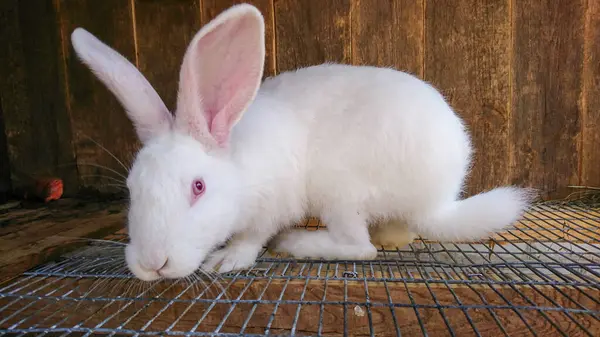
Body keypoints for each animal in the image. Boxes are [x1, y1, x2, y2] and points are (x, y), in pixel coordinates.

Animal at [70, 3, 536, 280]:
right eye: (131, 190)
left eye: (198, 187)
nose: (153, 264)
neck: (237, 163)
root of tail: (437, 202)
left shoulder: (273, 203)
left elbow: (253, 236)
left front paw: (227, 259)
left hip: (339, 191)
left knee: (360, 248)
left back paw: (297, 244)